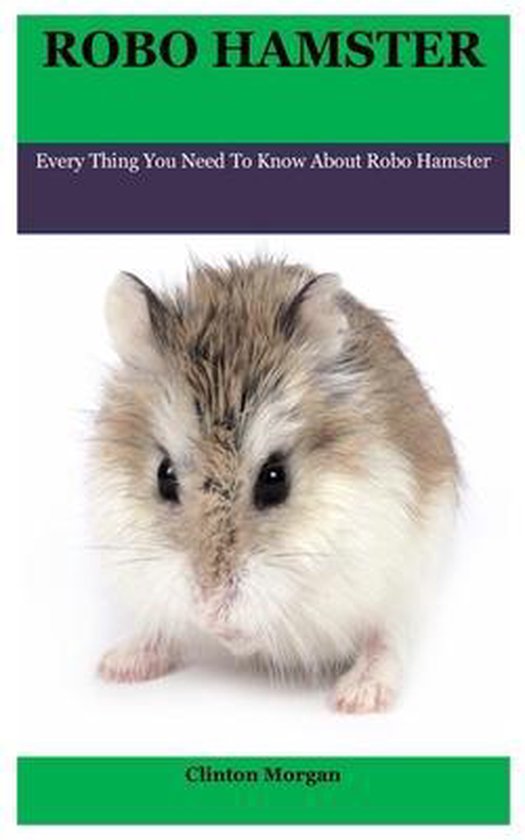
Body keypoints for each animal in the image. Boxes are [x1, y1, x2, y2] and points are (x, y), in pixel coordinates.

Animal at [90, 258, 458, 713]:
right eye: (164, 475)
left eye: (275, 479)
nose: (210, 610)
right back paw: (118, 665)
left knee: (388, 637)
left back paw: (359, 696)